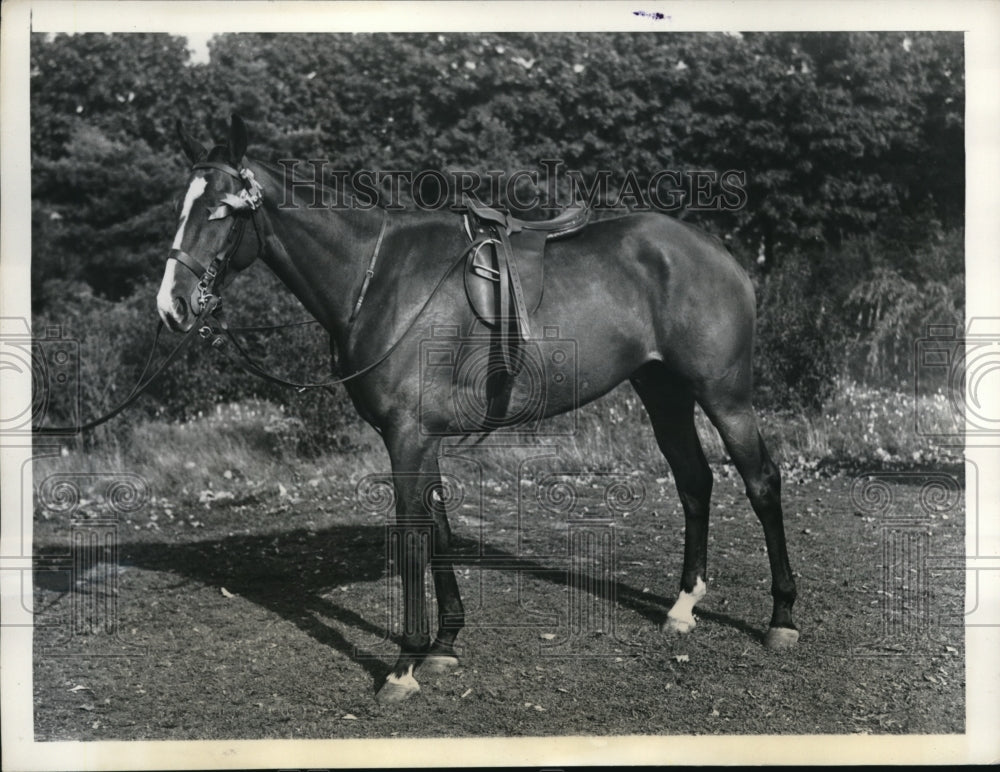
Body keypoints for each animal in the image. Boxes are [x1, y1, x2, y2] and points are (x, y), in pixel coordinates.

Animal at [156, 115, 798, 703]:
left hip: (723, 394)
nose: (172, 307)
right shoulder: (422, 437)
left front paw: (404, 665)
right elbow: (438, 530)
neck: (378, 278)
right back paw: (683, 607)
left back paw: (782, 619)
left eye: (222, 211)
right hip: (663, 390)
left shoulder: (407, 436)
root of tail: (716, 251)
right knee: (694, 481)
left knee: (761, 481)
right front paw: (443, 645)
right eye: (182, 208)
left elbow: (413, 536)